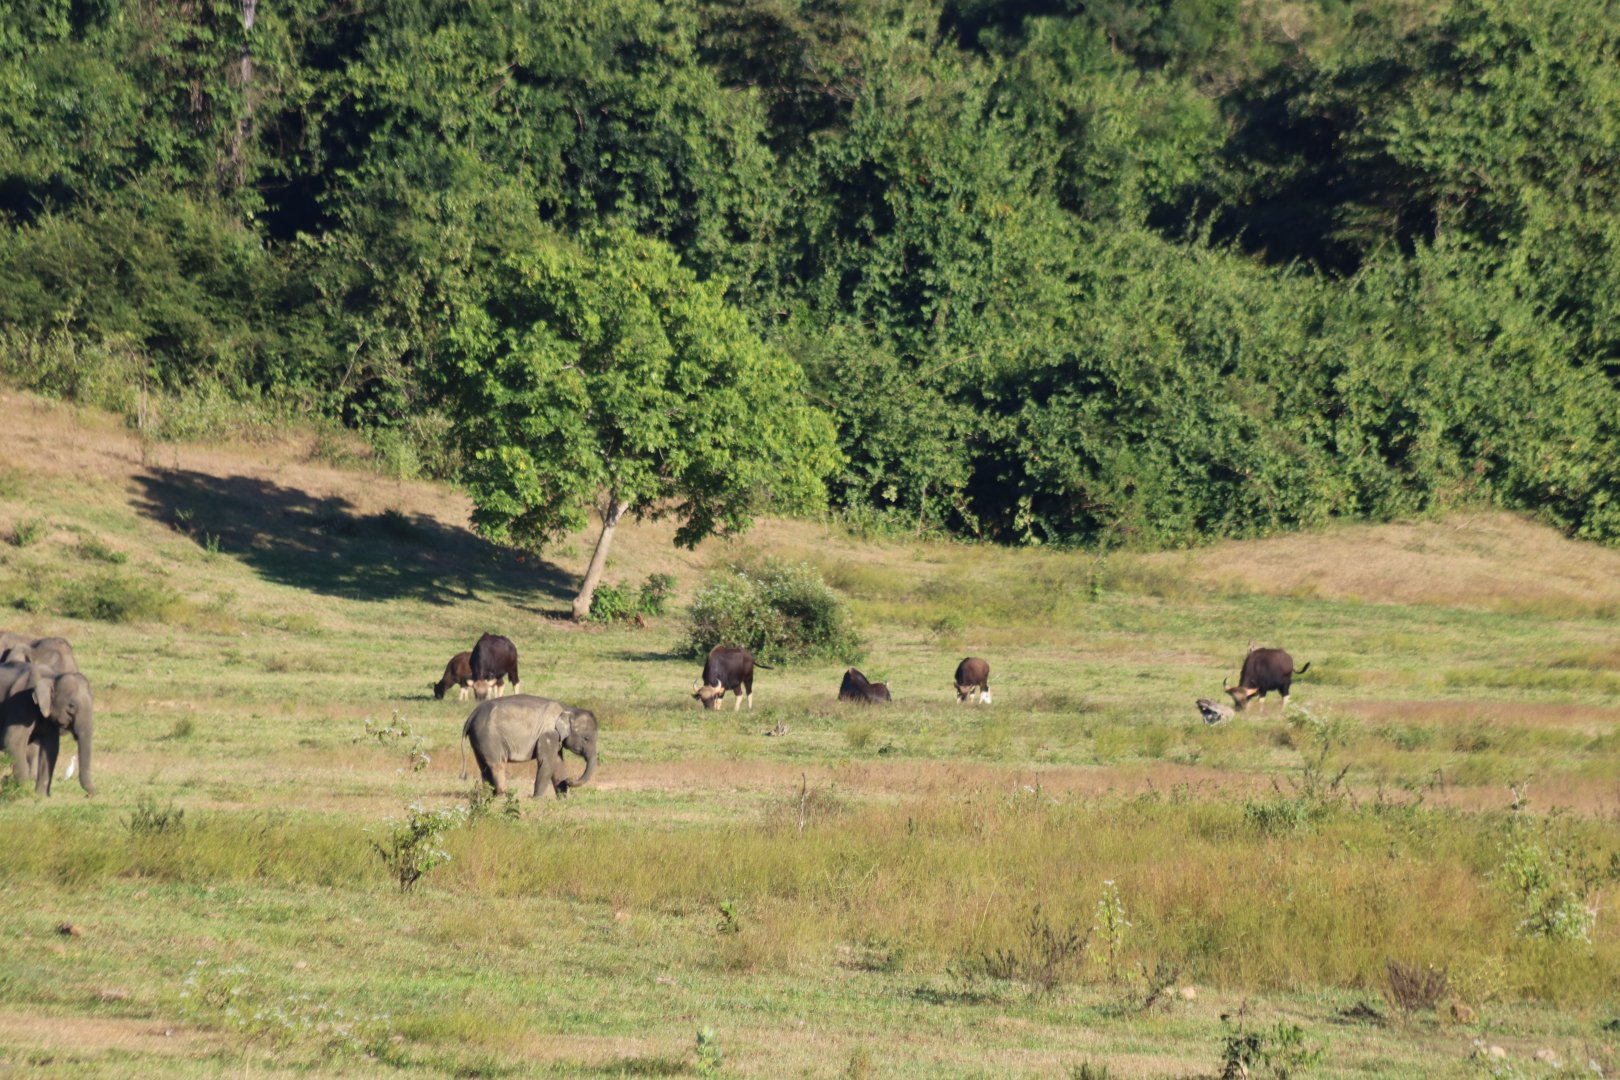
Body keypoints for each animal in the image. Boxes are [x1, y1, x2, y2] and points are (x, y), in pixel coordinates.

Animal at [0, 662, 95, 796]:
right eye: (71, 705)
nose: (88, 795)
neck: (53, 677)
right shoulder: (20, 702)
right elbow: (12, 741)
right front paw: (22, 790)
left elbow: (51, 747)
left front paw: (42, 796)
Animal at [459, 694, 599, 795]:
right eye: (586, 738)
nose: (569, 780)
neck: (568, 709)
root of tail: (472, 715)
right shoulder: (548, 735)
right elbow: (546, 763)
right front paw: (537, 801)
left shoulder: (556, 739)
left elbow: (558, 764)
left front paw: (564, 800)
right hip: (489, 737)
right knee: (497, 764)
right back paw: (502, 795)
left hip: (478, 739)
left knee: (484, 766)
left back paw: (488, 795)